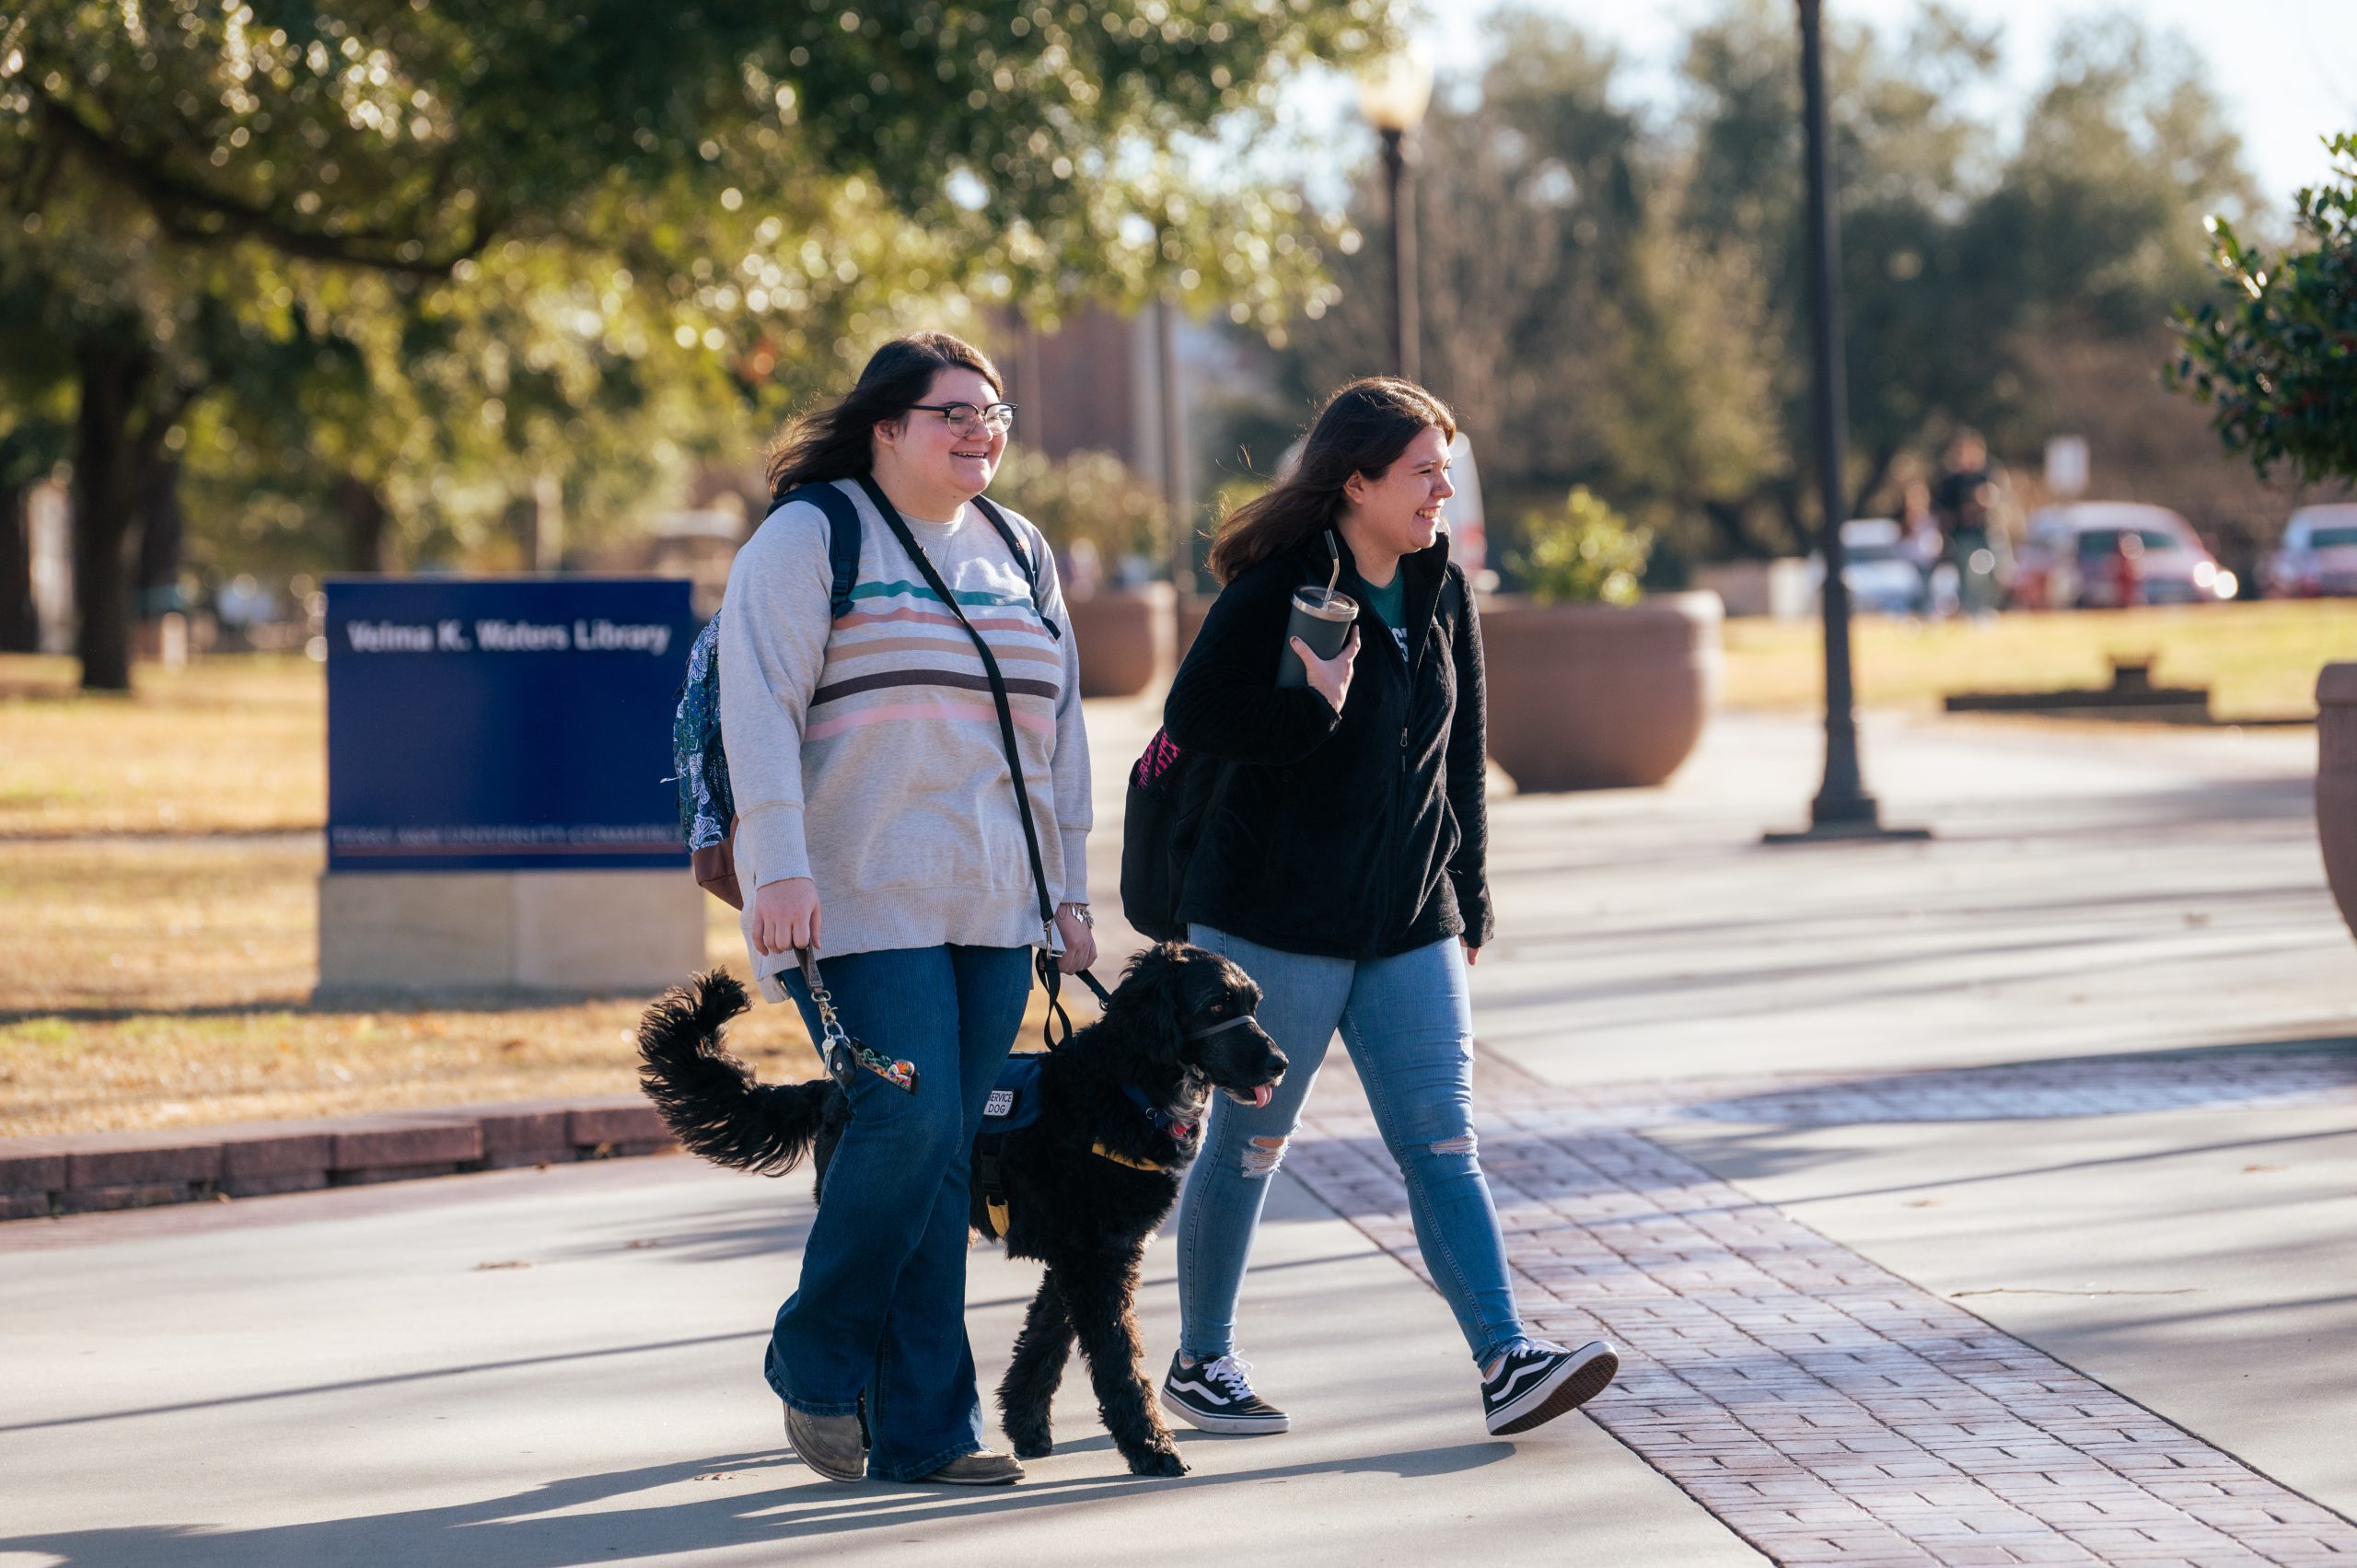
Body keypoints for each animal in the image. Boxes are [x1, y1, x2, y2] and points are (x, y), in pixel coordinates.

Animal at [636, 943, 1282, 1481]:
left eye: (1254, 1004)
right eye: (1215, 1004)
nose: (1279, 1062)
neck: (1125, 1086)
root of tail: (834, 1089)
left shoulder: (1089, 1255)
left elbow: (1044, 1341)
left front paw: (1025, 1425)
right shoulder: (1095, 1261)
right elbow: (1118, 1361)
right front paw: (1150, 1448)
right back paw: (852, 1429)